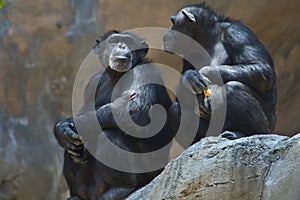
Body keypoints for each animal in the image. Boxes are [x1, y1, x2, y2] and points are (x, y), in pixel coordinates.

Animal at [52, 30, 172, 199]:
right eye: (114, 41)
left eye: (129, 42)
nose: (122, 46)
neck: (116, 75)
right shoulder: (92, 83)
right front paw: (62, 130)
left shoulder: (144, 72)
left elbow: (134, 110)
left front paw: (69, 125)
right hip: (89, 188)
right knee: (72, 147)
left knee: (110, 134)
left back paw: (120, 189)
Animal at [163, 2, 278, 141]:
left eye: (173, 23)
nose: (169, 28)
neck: (207, 38)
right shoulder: (188, 54)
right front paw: (189, 77)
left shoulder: (238, 33)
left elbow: (261, 69)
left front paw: (204, 72)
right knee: (175, 110)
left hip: (267, 127)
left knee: (232, 89)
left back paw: (247, 133)